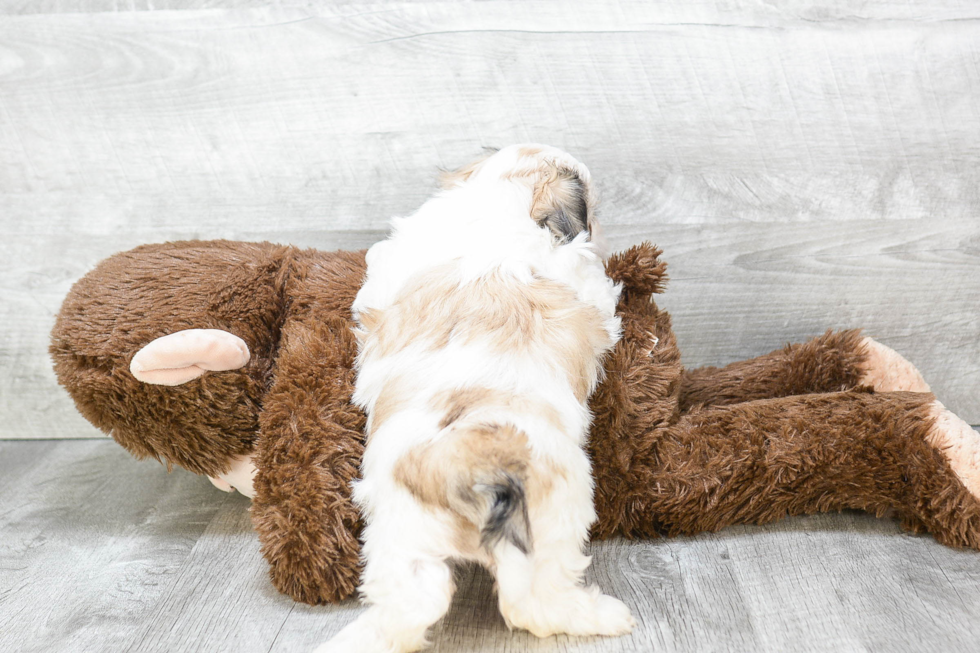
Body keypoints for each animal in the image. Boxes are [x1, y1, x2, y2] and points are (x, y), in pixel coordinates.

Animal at [316, 145, 636, 648]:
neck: (494, 207)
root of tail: (460, 466)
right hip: (553, 512)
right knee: (532, 602)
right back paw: (602, 615)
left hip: (402, 531)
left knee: (414, 601)